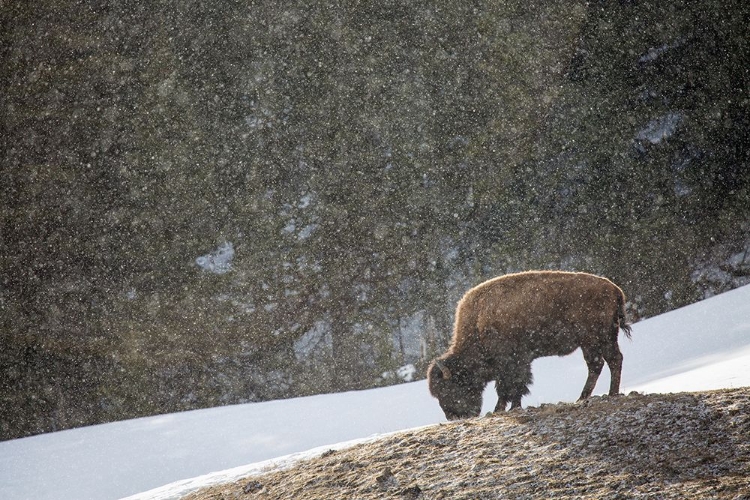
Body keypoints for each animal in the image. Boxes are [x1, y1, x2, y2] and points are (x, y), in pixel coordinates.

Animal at [428, 272, 636, 420]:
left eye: (449, 388)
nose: (452, 417)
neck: (478, 322)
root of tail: (614, 289)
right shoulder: (519, 362)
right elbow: (516, 386)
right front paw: (512, 406)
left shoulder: (510, 363)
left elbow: (509, 387)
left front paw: (500, 409)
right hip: (595, 342)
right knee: (599, 364)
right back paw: (583, 397)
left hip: (598, 339)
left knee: (611, 361)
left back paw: (610, 394)